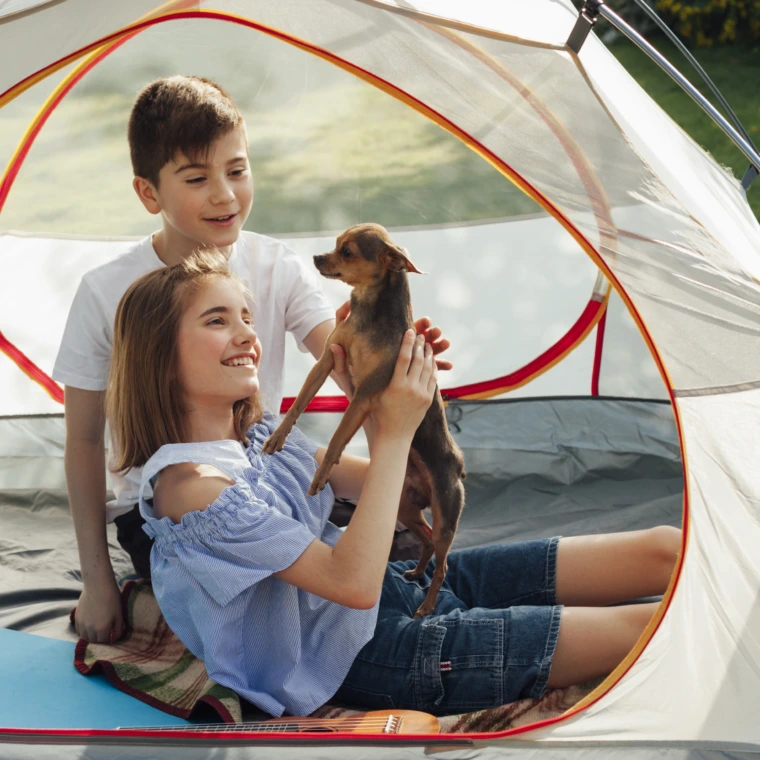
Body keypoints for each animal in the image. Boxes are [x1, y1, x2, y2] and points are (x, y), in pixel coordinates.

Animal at [264, 221, 466, 616]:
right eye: (334, 244)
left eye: (347, 252)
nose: (316, 257)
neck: (367, 312)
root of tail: (459, 463)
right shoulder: (327, 359)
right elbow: (297, 405)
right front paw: (277, 437)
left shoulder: (364, 394)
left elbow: (338, 436)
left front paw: (320, 476)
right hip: (403, 506)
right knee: (427, 540)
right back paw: (415, 572)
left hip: (445, 512)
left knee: (444, 560)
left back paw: (427, 606)